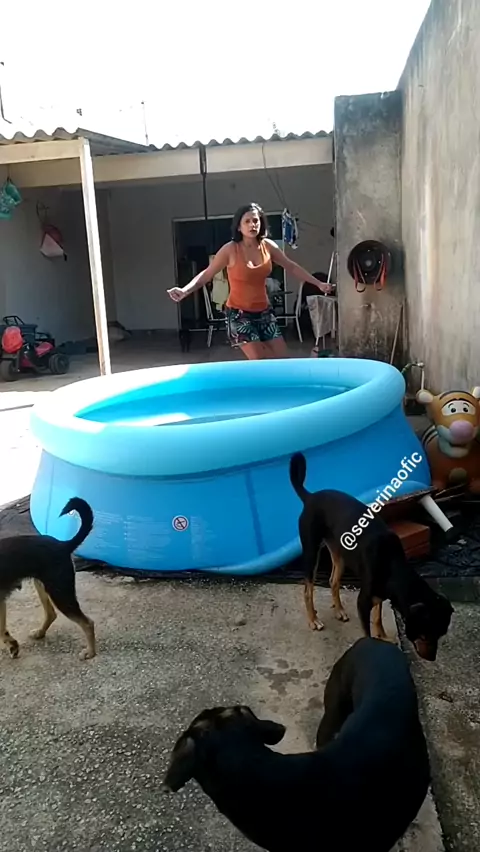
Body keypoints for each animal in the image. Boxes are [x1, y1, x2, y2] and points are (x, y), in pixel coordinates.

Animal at [0, 497, 96, 661]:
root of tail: (63, 545)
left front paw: (12, 645)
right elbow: (2, 629)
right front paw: (12, 645)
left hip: (60, 593)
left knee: (88, 623)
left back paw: (90, 652)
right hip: (44, 586)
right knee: (51, 613)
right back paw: (40, 632)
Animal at [290, 452, 453, 660]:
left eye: (440, 635)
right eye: (425, 634)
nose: (432, 658)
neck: (392, 565)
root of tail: (310, 497)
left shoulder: (379, 596)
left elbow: (377, 618)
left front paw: (382, 636)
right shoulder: (363, 601)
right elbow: (367, 631)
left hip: (340, 554)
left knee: (333, 580)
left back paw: (339, 610)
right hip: (311, 551)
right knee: (307, 590)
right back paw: (313, 620)